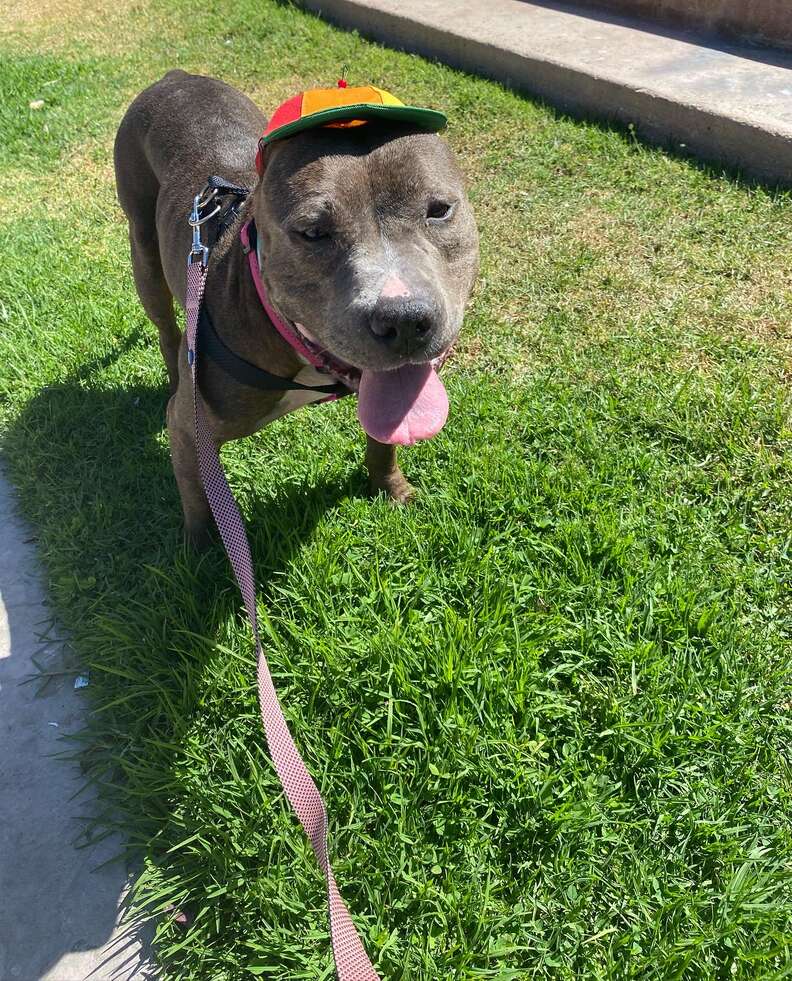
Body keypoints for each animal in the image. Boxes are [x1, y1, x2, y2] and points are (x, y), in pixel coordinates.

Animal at [114, 71, 480, 544]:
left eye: (439, 211)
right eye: (312, 232)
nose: (404, 320)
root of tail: (174, 76)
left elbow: (384, 440)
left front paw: (391, 489)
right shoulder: (189, 431)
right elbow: (199, 501)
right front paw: (202, 554)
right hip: (143, 250)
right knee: (165, 326)